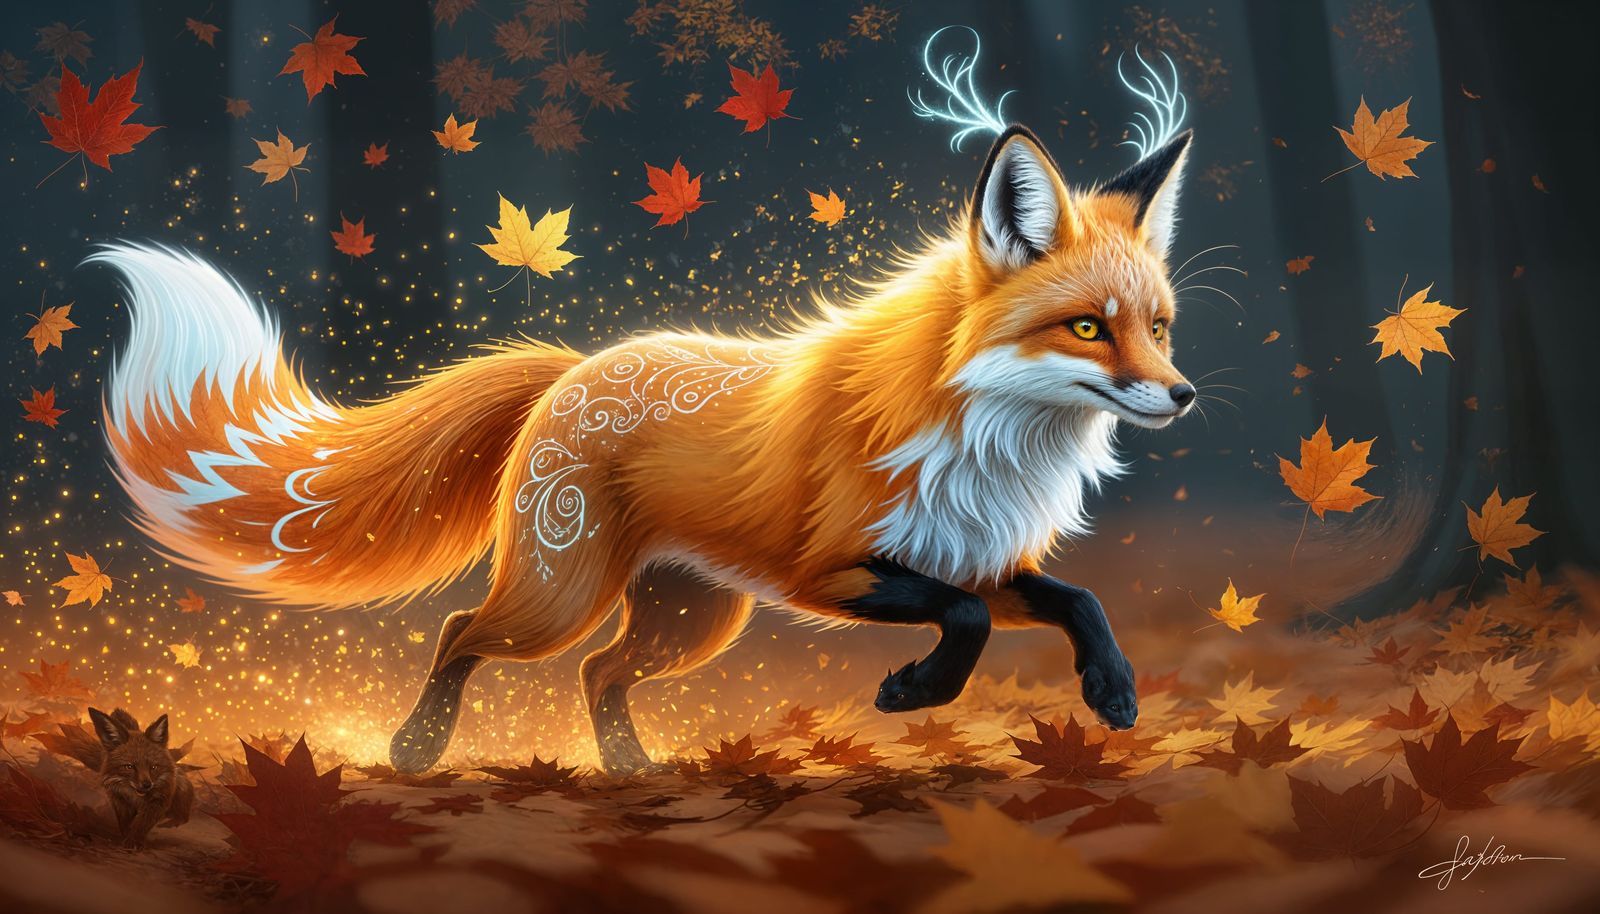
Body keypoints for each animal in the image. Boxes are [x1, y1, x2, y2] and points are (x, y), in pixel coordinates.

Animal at [46, 708, 194, 846]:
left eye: (153, 767)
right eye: (129, 767)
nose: (147, 785)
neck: (135, 797)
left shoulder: (158, 800)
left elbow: (142, 824)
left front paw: (134, 842)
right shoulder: (119, 800)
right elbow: (125, 824)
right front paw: (126, 838)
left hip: (181, 791)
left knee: (184, 816)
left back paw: (171, 821)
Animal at [95, 124, 1196, 775]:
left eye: (1158, 327)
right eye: (1088, 329)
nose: (1183, 395)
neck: (985, 445)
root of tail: (574, 366)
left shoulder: (978, 558)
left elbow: (1077, 599)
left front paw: (1112, 691)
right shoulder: (833, 568)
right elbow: (961, 621)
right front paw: (912, 690)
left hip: (690, 623)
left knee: (598, 675)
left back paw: (628, 766)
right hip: (560, 595)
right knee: (460, 630)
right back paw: (417, 745)